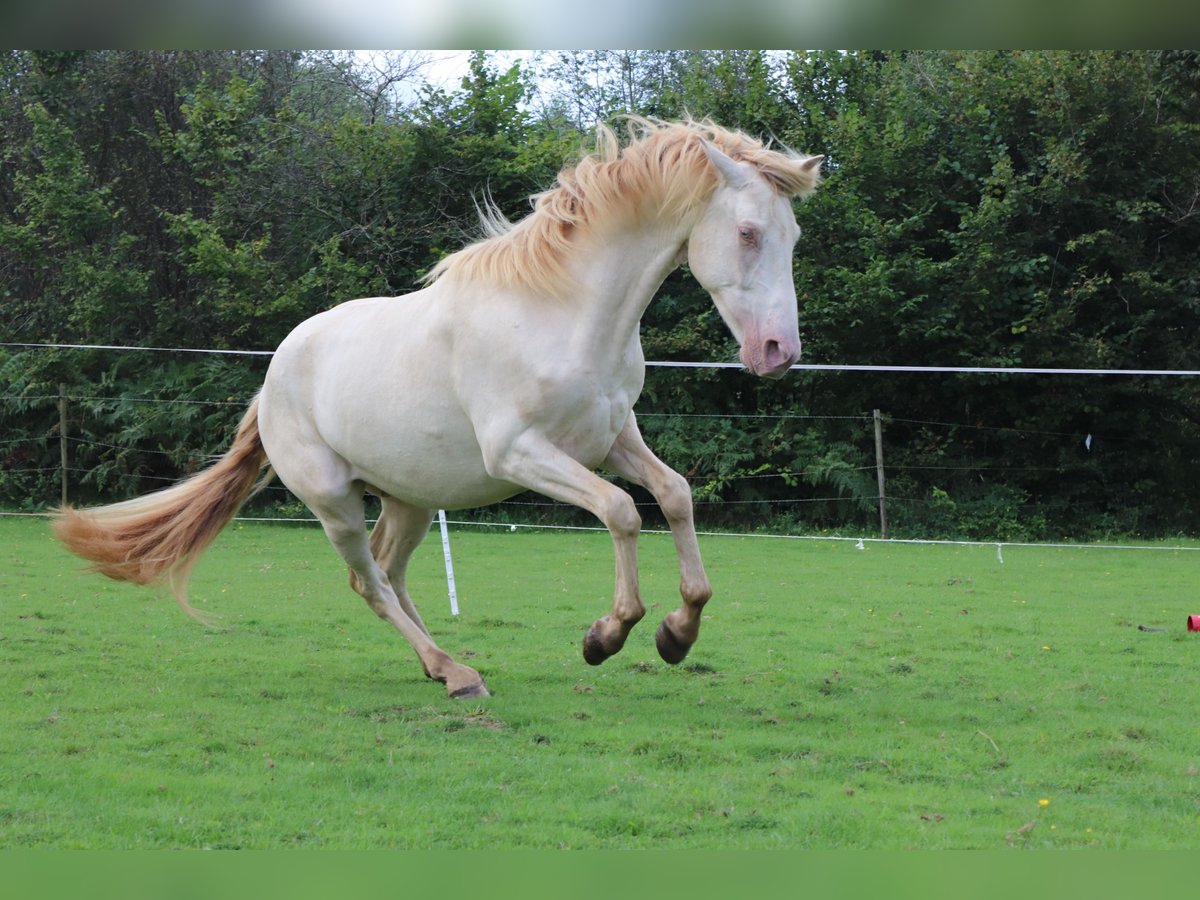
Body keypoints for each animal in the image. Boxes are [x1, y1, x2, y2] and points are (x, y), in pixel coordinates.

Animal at [56, 116, 825, 700]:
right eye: (749, 233)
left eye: (792, 237)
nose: (779, 351)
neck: (563, 314)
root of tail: (272, 380)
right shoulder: (520, 452)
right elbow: (621, 511)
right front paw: (607, 636)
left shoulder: (611, 438)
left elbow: (674, 495)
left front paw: (676, 633)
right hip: (335, 502)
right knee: (367, 581)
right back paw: (453, 672)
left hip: (410, 499)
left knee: (390, 575)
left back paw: (447, 667)